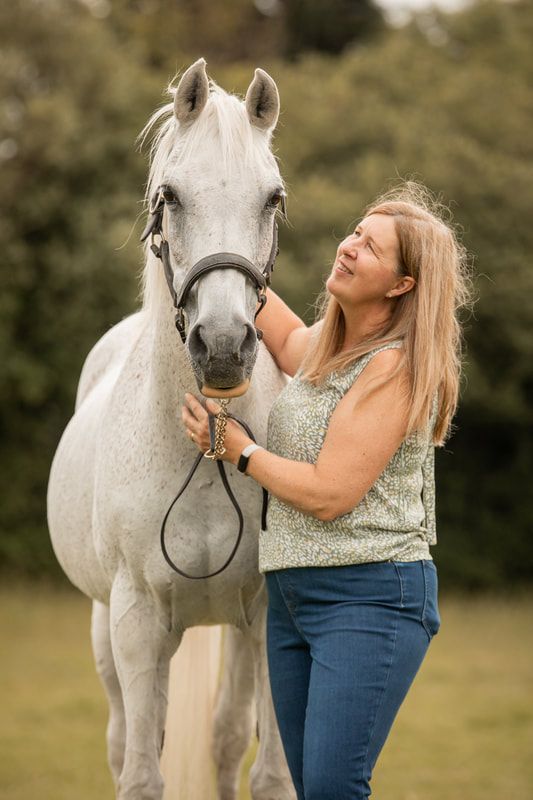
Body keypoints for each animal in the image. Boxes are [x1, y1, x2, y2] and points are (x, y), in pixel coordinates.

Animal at [47, 58, 296, 800]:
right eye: (171, 197)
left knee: (223, 738)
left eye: (272, 199)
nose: (223, 347)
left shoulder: (270, 617)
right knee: (124, 738)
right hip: (106, 629)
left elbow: (270, 772)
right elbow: (140, 772)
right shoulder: (135, 622)